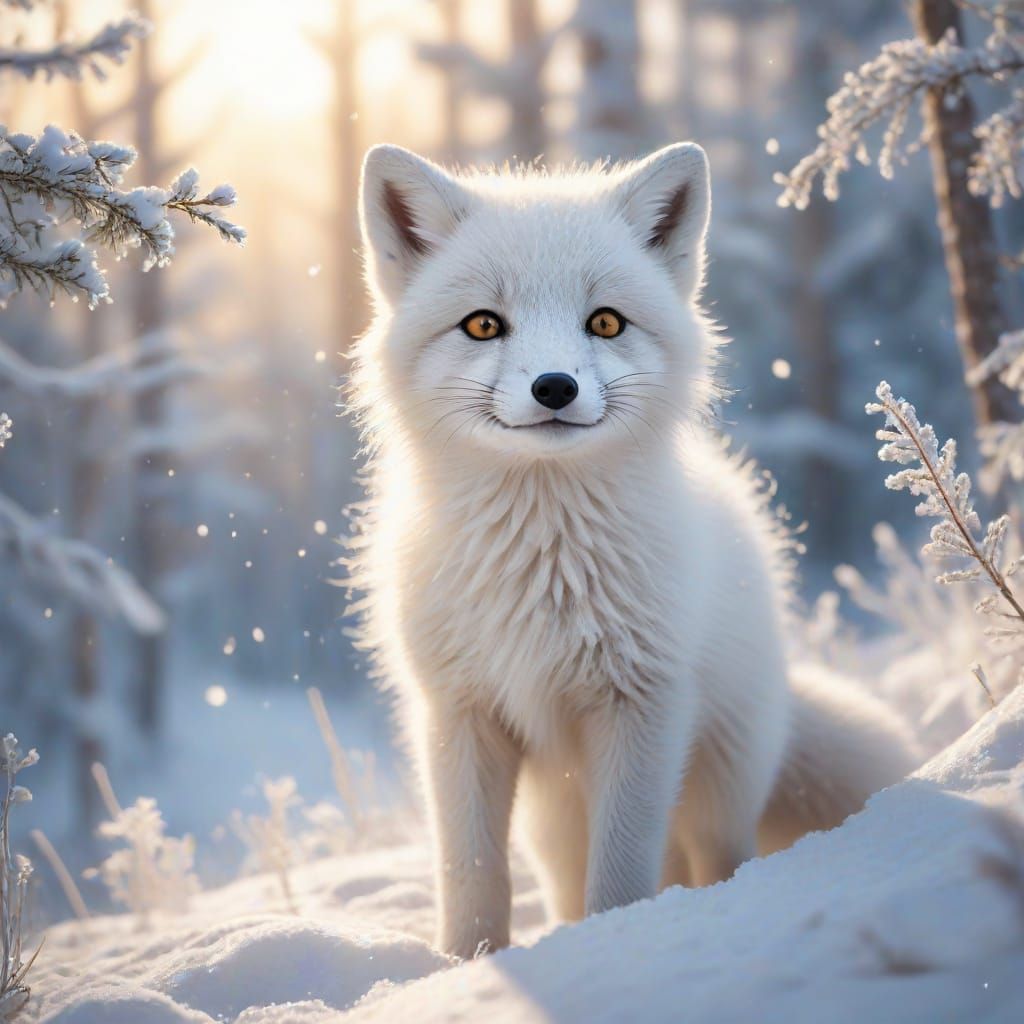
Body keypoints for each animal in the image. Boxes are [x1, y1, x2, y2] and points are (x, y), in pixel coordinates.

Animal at [346, 141, 920, 960]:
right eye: (484, 325)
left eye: (605, 322)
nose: (555, 386)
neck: (543, 568)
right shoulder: (460, 713)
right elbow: (472, 876)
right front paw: (468, 964)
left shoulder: (641, 706)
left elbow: (619, 874)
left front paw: (613, 949)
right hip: (554, 814)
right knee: (564, 879)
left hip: (716, 784)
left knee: (713, 857)